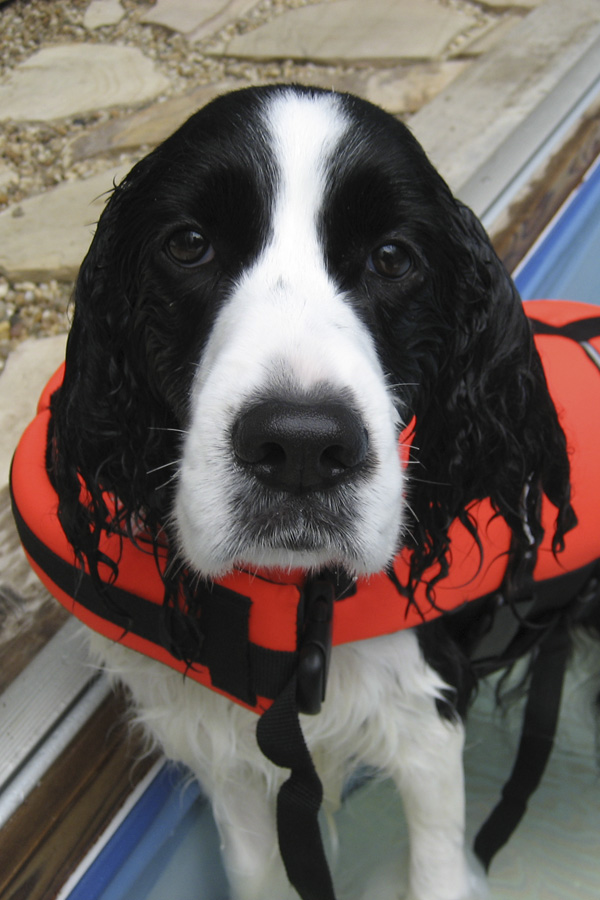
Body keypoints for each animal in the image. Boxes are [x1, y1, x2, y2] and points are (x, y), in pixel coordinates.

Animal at [44, 86, 592, 900]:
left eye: (393, 257)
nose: (300, 447)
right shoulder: (226, 749)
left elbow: (436, 866)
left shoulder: (423, 717)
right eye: (188, 243)